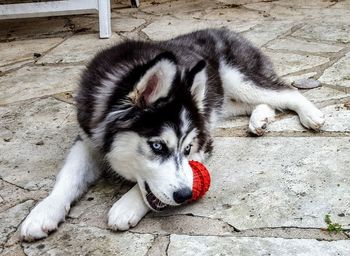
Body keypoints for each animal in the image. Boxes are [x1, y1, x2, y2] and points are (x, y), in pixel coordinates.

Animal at [20, 29, 324, 241]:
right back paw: (260, 119)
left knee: (286, 92)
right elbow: (68, 177)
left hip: (238, 79)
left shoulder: (203, 140)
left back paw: (311, 115)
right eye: (157, 146)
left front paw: (126, 205)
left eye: (187, 149)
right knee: (264, 102)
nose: (185, 195)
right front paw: (44, 211)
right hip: (224, 99)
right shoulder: (88, 138)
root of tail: (227, 30)